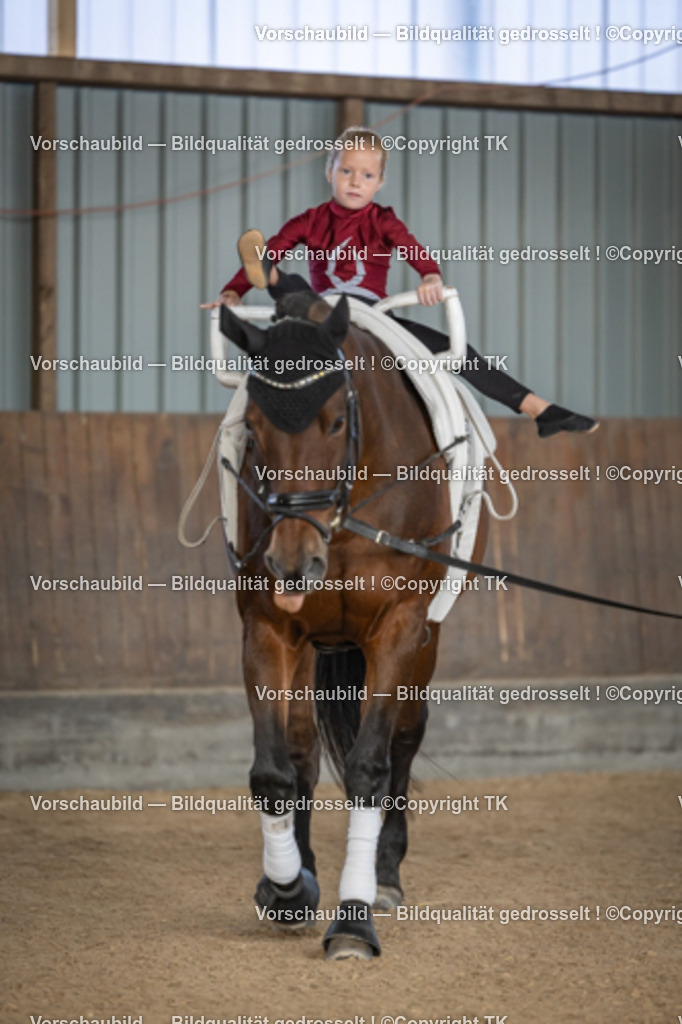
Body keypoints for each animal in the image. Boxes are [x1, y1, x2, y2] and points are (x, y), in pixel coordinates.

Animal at [219, 291, 487, 960]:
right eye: (253, 430)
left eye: (337, 421)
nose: (293, 563)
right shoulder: (267, 627)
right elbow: (274, 769)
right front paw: (288, 889)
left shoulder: (398, 628)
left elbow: (371, 767)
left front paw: (354, 917)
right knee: (302, 750)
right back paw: (302, 869)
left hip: (425, 642)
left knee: (405, 740)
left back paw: (386, 875)